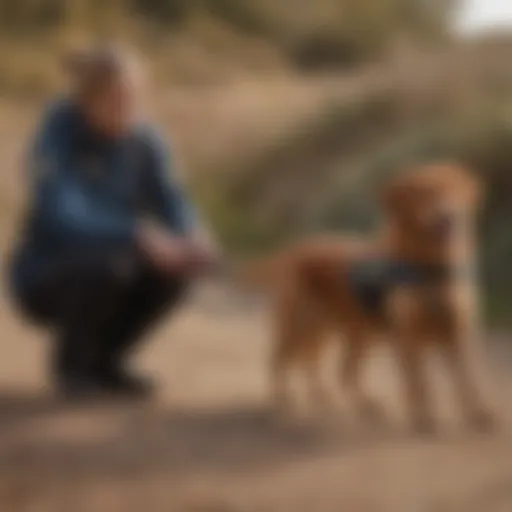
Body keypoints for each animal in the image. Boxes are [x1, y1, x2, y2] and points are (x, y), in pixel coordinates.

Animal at [246, 162, 494, 430]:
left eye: (451, 189)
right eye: (423, 193)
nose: (448, 216)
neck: (430, 268)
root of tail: (295, 250)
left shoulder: (459, 333)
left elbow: (470, 382)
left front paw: (480, 415)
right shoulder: (408, 337)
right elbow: (420, 385)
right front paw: (424, 419)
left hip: (352, 334)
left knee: (333, 369)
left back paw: (348, 403)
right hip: (301, 326)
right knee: (280, 361)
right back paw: (283, 403)